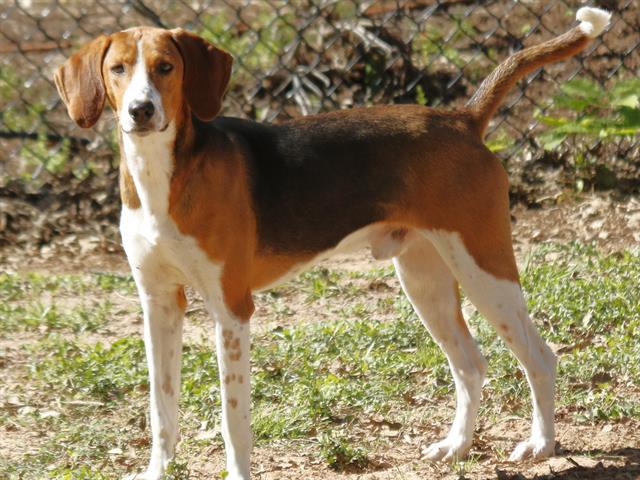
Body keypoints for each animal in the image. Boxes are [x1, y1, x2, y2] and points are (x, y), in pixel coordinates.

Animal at [54, 7, 610, 479]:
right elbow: (161, 409)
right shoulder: (158, 305)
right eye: (118, 69)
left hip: (484, 268)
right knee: (471, 365)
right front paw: (156, 471)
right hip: (424, 278)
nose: (140, 111)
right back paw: (456, 446)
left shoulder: (231, 310)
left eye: (165, 68)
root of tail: (461, 119)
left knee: (539, 358)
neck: (164, 177)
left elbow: (234, 422)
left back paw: (540, 444)